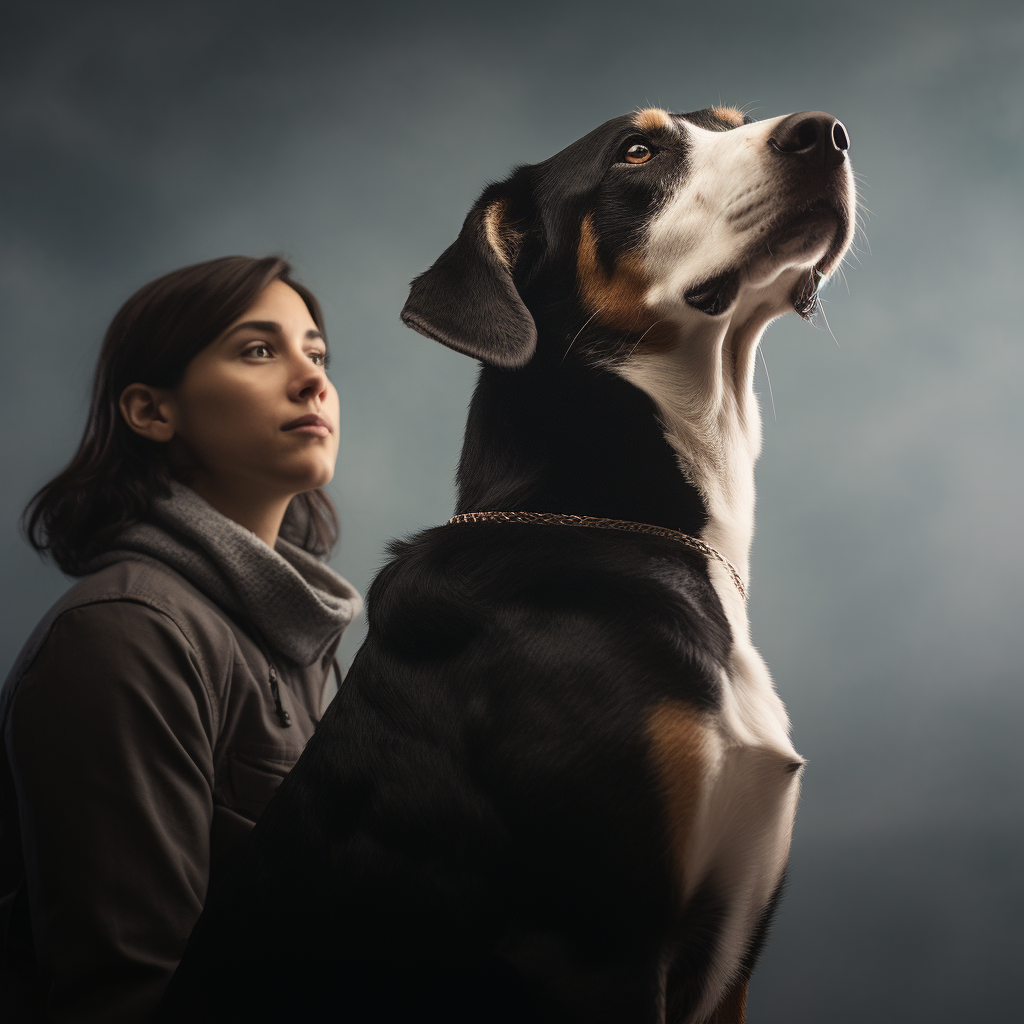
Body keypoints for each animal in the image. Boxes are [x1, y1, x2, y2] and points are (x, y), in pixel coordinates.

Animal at [161, 103, 856, 1024]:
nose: (825, 132)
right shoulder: (597, 947)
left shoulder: (729, 969)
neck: (613, 523)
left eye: (732, 122)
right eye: (636, 151)